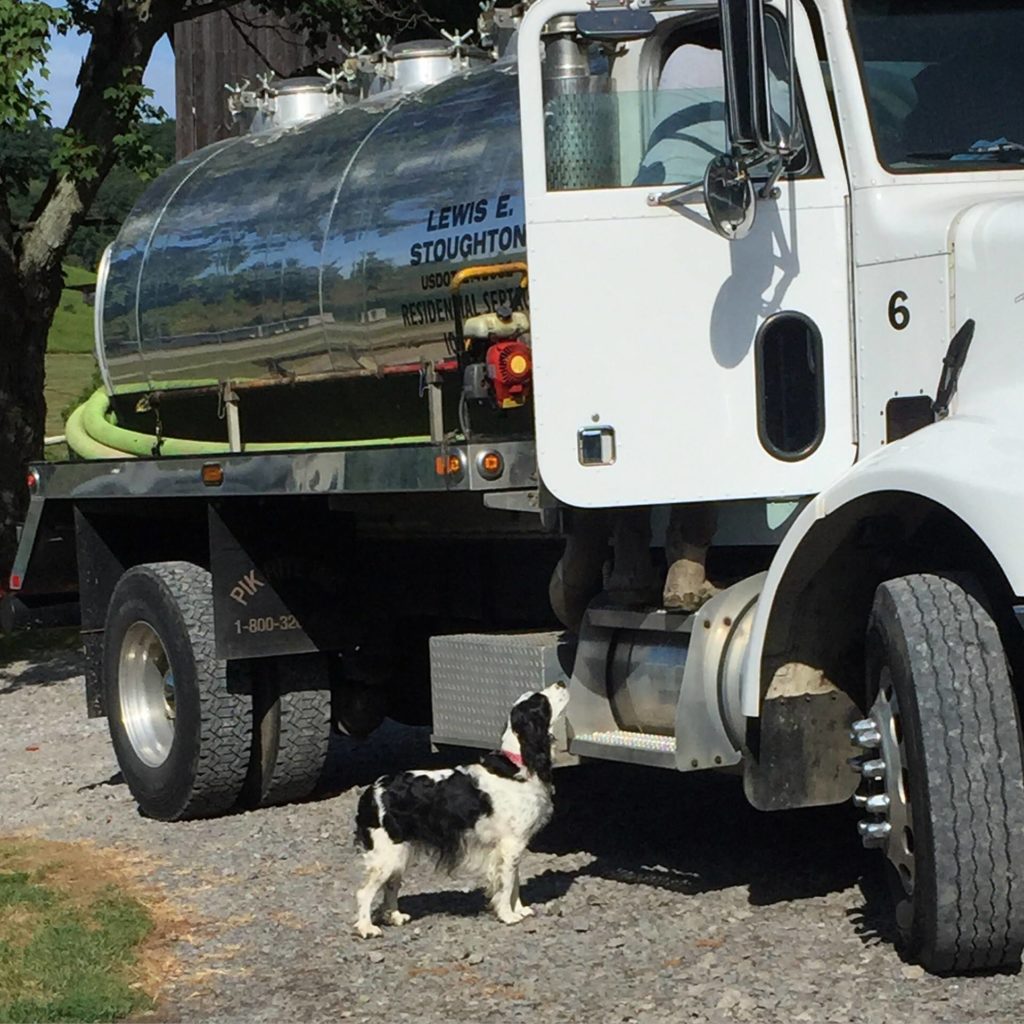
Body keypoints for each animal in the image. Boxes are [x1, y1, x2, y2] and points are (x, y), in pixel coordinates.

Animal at [354, 679, 569, 937]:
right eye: (542, 701)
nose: (561, 682)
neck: (518, 763)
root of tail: (371, 791)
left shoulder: (511, 847)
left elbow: (514, 881)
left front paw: (519, 910)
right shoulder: (511, 845)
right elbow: (507, 884)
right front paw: (508, 916)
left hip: (400, 852)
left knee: (391, 885)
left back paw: (395, 916)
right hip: (386, 855)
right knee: (364, 892)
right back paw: (366, 928)